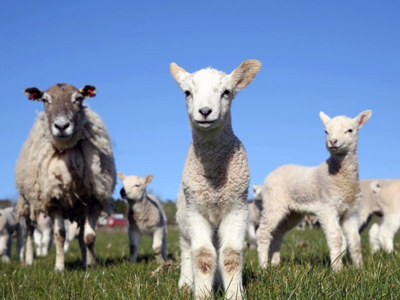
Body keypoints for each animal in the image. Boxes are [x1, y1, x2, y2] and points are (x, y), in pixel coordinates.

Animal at [15, 83, 115, 270]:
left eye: (78, 99)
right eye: (45, 100)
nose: (61, 126)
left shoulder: (93, 199)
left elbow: (88, 237)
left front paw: (90, 264)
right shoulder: (54, 200)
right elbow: (60, 235)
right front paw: (59, 267)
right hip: (28, 201)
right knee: (29, 231)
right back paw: (29, 260)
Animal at [170, 59, 260, 298]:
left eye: (226, 92)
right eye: (187, 92)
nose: (205, 111)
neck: (214, 179)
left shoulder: (237, 208)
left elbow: (230, 256)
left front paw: (234, 293)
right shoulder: (196, 210)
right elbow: (202, 256)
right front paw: (202, 294)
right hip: (183, 218)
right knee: (186, 249)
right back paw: (186, 283)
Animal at [258, 110, 374, 272]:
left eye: (350, 130)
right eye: (326, 131)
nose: (333, 141)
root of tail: (273, 172)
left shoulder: (351, 212)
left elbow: (355, 240)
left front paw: (359, 268)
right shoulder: (327, 207)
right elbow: (336, 237)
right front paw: (337, 269)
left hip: (293, 212)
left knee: (278, 233)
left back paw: (275, 263)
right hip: (273, 202)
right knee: (263, 232)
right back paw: (263, 266)